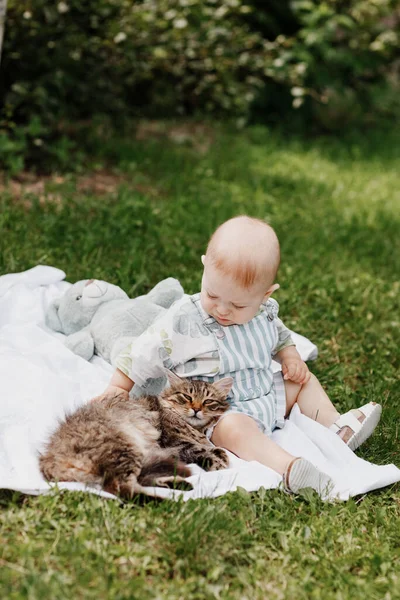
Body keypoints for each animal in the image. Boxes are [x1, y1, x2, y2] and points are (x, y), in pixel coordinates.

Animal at [39, 376, 233, 496]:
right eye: (186, 397)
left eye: (208, 401)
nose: (196, 409)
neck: (193, 428)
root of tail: (50, 459)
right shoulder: (173, 442)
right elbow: (201, 449)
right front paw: (218, 460)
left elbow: (207, 446)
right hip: (123, 449)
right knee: (126, 490)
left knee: (142, 480)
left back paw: (180, 485)